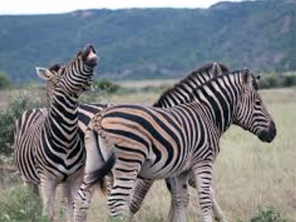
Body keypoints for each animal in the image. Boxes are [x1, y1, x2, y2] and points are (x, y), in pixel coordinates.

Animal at [14, 44, 115, 220]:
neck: (65, 137)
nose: (88, 47)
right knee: (31, 200)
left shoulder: (75, 178)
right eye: (62, 71)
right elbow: (49, 213)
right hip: (26, 178)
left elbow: (75, 208)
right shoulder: (47, 180)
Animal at [73, 68, 276, 222]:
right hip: (127, 163)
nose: (274, 132)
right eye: (258, 103)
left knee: (82, 198)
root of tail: (99, 118)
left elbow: (181, 199)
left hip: (94, 162)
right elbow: (204, 197)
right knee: (116, 201)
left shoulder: (181, 169)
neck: (208, 114)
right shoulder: (203, 161)